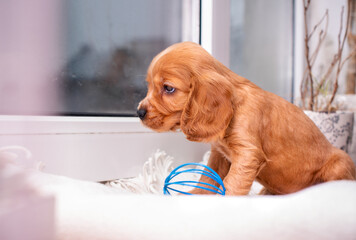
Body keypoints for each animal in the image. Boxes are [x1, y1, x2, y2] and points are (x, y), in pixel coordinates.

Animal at [137, 41, 356, 195]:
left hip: (339, 164)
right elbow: (207, 178)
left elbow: (232, 184)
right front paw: (194, 195)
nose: (139, 112)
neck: (234, 107)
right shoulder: (219, 155)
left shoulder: (248, 154)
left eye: (168, 88)